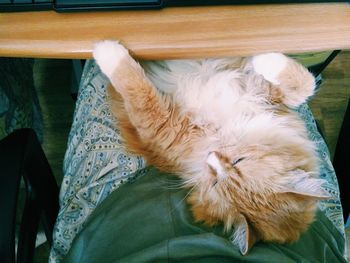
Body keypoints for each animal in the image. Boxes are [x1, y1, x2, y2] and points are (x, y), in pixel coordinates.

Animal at [92, 41, 328, 256]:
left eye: (215, 182)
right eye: (238, 161)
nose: (211, 158)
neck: (223, 131)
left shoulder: (165, 129)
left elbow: (139, 92)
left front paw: (106, 52)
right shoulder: (264, 96)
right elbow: (304, 86)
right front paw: (264, 58)